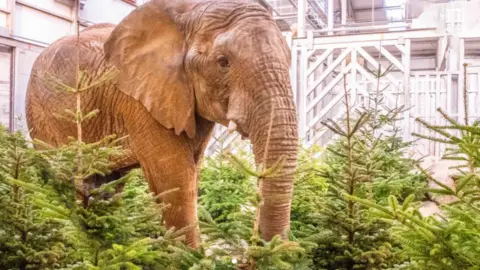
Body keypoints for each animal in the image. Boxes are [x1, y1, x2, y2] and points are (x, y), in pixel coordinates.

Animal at [26, 0, 298, 247]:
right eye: (223, 62)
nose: (261, 248)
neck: (187, 15)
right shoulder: (140, 102)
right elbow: (176, 178)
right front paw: (190, 258)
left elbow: (191, 172)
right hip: (42, 115)